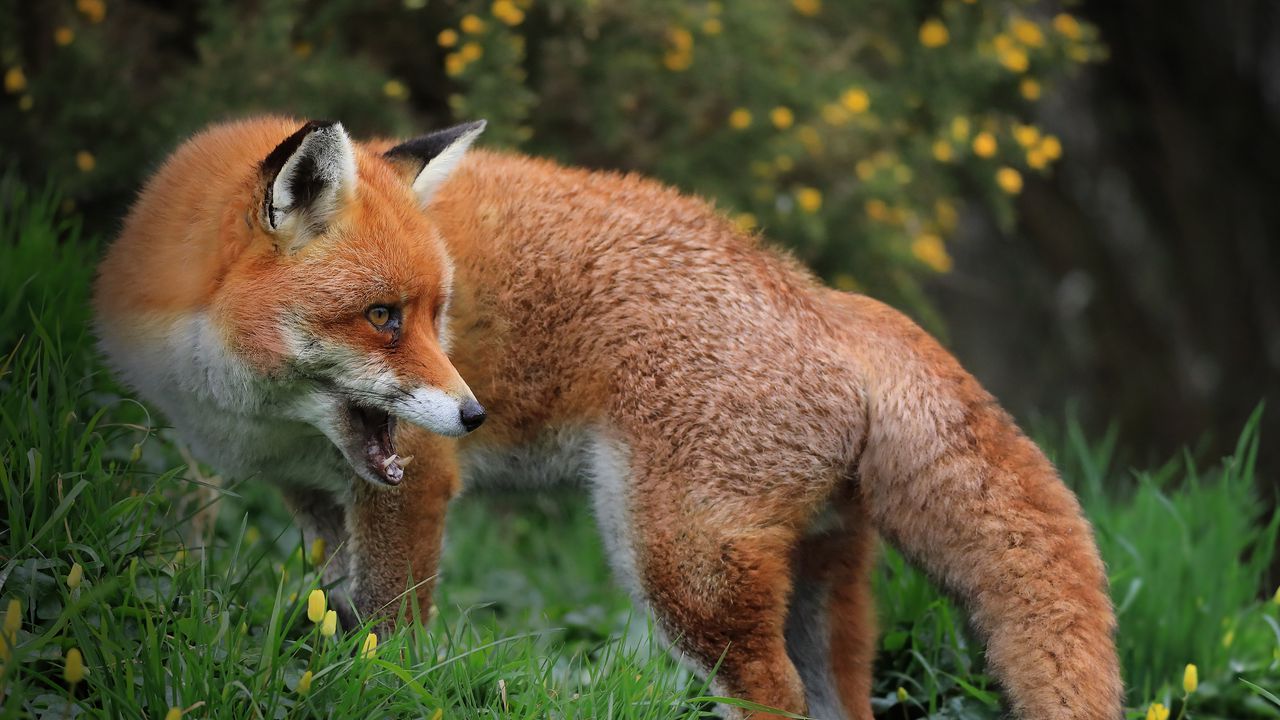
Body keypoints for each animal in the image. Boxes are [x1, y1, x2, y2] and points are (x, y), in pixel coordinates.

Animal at [94, 116, 1122, 720]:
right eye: (384, 317)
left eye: (438, 312)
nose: (472, 413)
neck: (252, 409)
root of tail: (820, 297)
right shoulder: (313, 498)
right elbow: (336, 609)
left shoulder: (415, 488)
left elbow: (393, 629)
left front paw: (384, 691)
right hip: (814, 579)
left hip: (678, 562)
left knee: (773, 692)